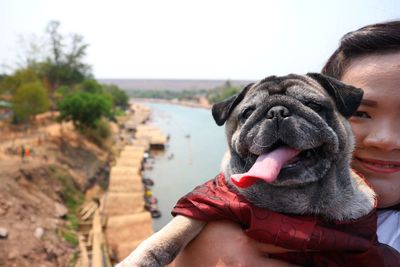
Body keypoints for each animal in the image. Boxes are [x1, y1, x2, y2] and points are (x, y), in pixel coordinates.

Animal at [116, 74, 378, 267]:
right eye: (248, 113)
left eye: (313, 105)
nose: (277, 111)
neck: (289, 205)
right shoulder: (207, 203)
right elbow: (177, 228)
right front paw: (143, 258)